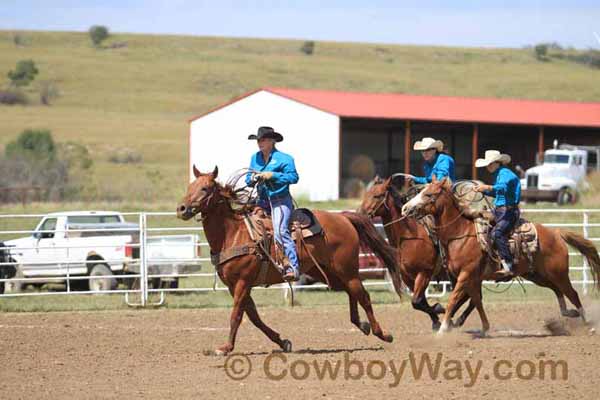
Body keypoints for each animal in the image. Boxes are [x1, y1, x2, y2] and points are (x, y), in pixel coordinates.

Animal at [178, 167, 404, 354]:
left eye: (205, 188)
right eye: (190, 187)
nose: (181, 208)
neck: (233, 233)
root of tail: (343, 218)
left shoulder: (242, 283)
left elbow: (236, 316)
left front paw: (225, 348)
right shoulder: (235, 286)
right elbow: (254, 316)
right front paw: (282, 341)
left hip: (347, 269)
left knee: (363, 295)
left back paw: (382, 333)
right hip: (329, 273)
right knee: (351, 292)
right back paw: (362, 324)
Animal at [404, 177, 600, 334]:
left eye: (429, 195)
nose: (406, 208)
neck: (460, 234)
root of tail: (556, 233)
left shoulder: (466, 274)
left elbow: (454, 300)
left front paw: (444, 328)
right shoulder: (469, 278)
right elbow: (477, 301)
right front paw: (484, 328)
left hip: (559, 274)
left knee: (572, 293)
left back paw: (587, 324)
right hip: (538, 275)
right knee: (557, 290)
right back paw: (567, 314)